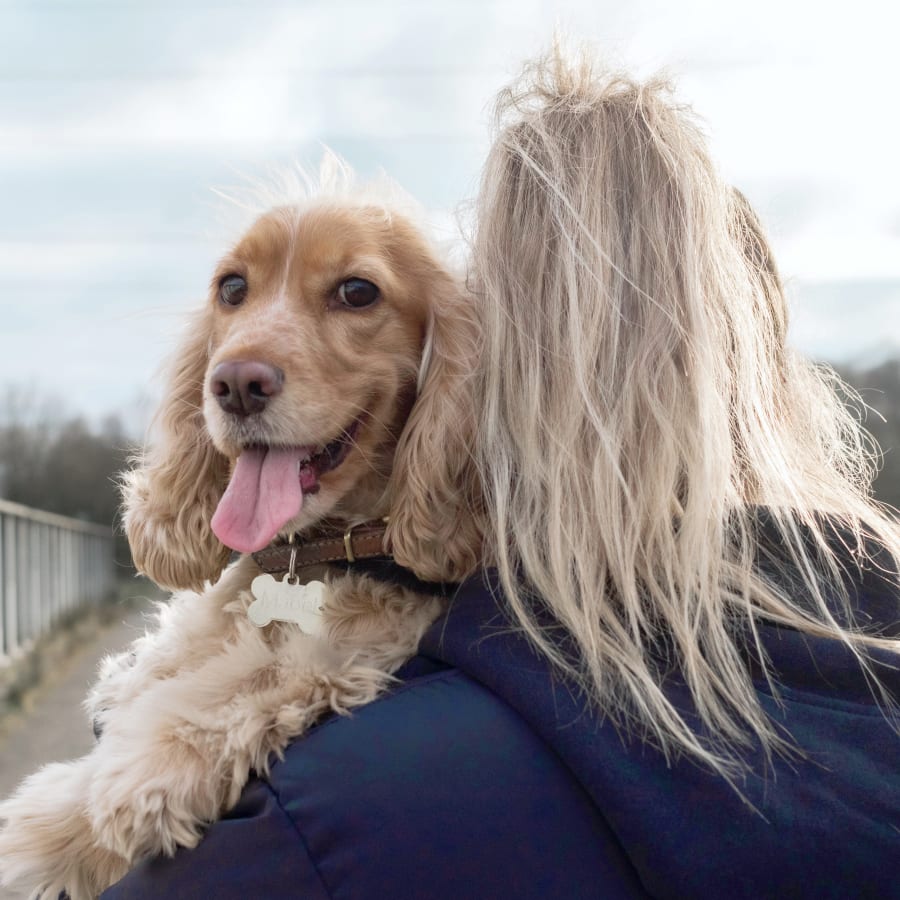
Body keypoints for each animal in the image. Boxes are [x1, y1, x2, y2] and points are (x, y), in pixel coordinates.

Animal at [0, 163, 478, 900]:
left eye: (357, 291)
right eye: (232, 288)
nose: (235, 383)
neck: (314, 551)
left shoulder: (364, 639)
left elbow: (249, 678)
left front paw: (118, 788)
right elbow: (182, 648)